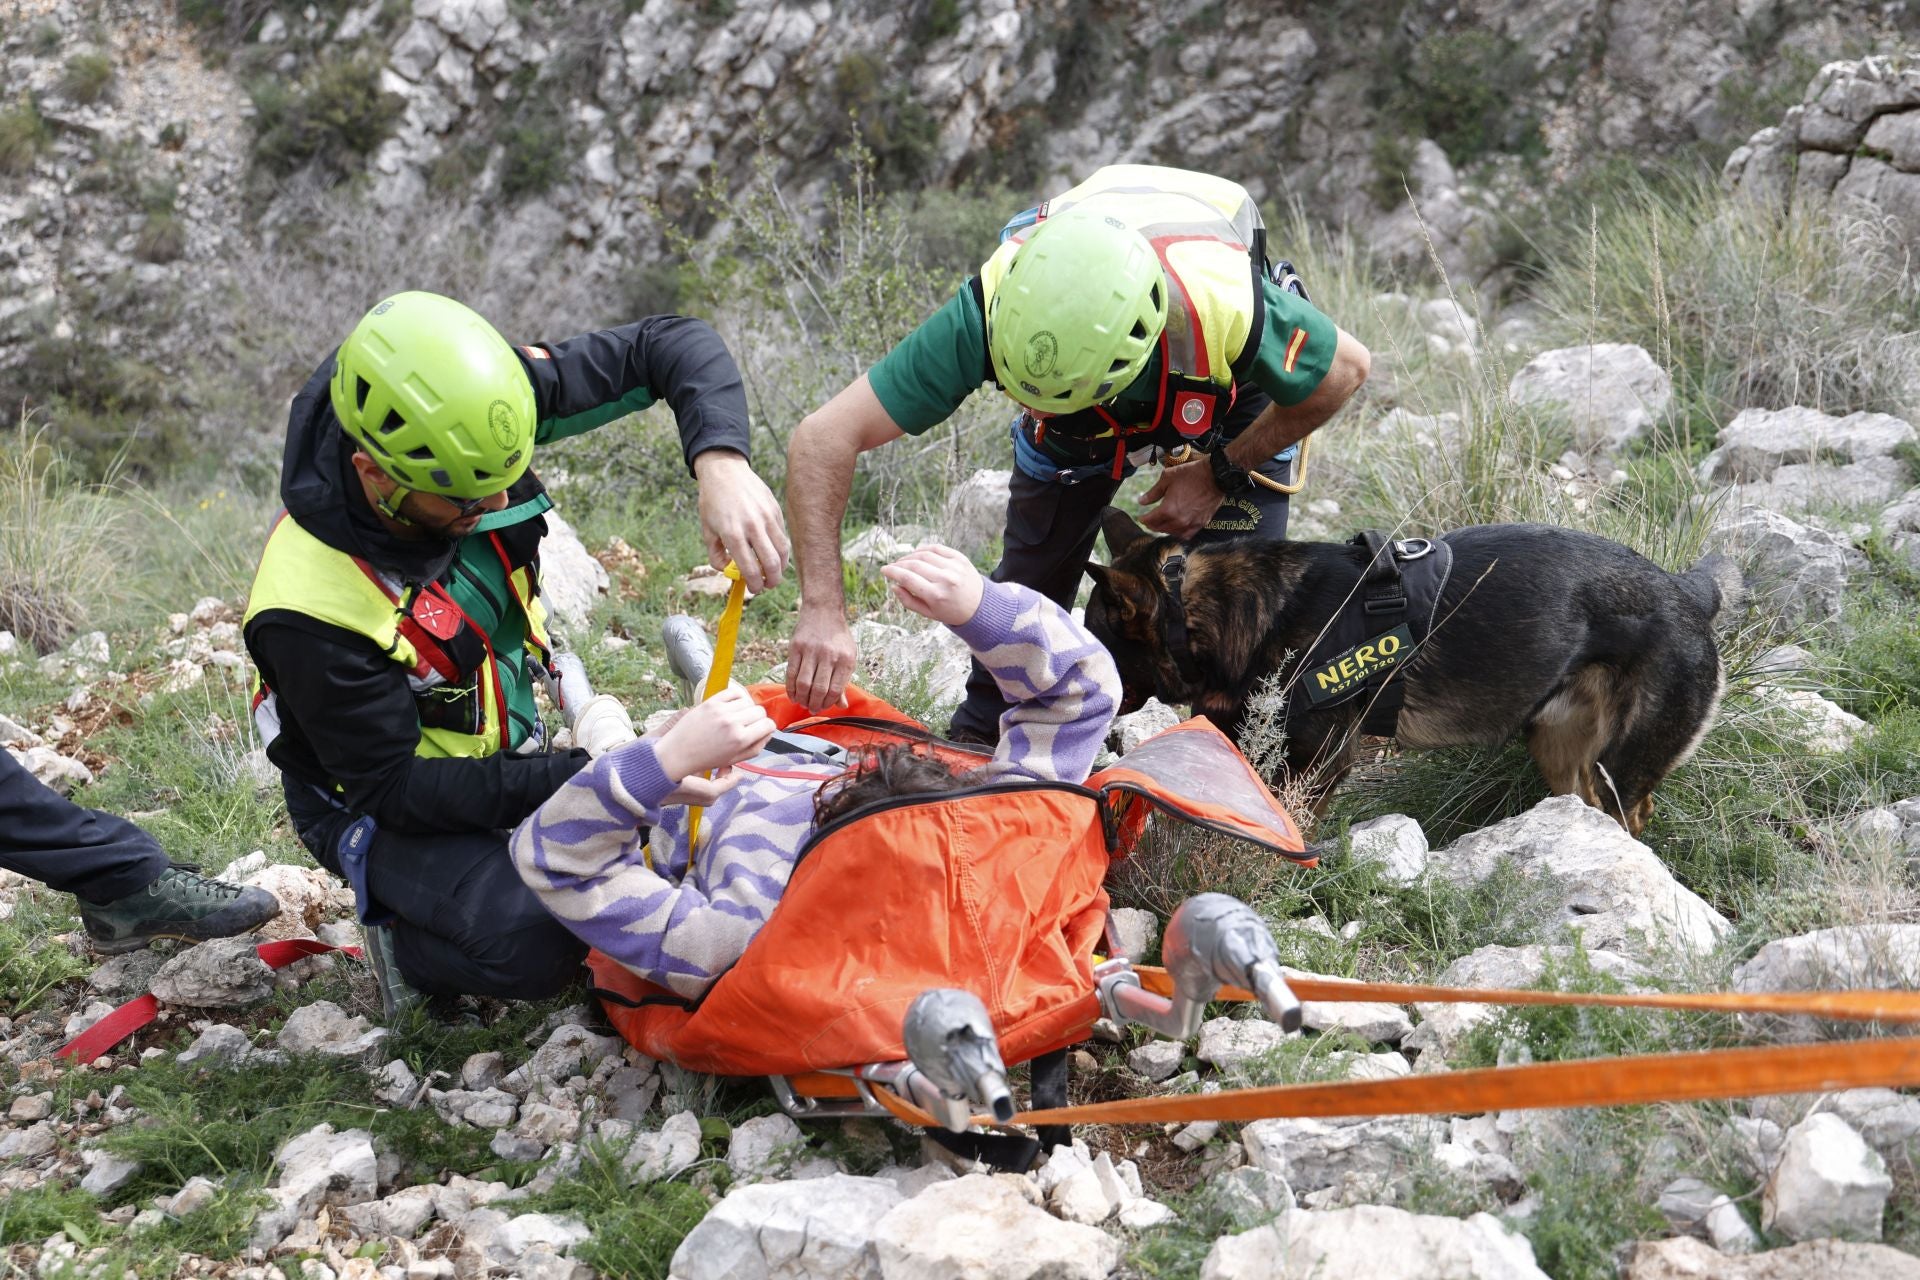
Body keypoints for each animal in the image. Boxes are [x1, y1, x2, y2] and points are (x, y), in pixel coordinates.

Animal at [1090, 510, 1751, 840]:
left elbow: (1286, 823)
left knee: (1631, 816)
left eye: (1098, 643)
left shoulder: (1319, 762)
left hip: (1621, 769)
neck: (1208, 609)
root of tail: (1688, 592)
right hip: (1561, 755)